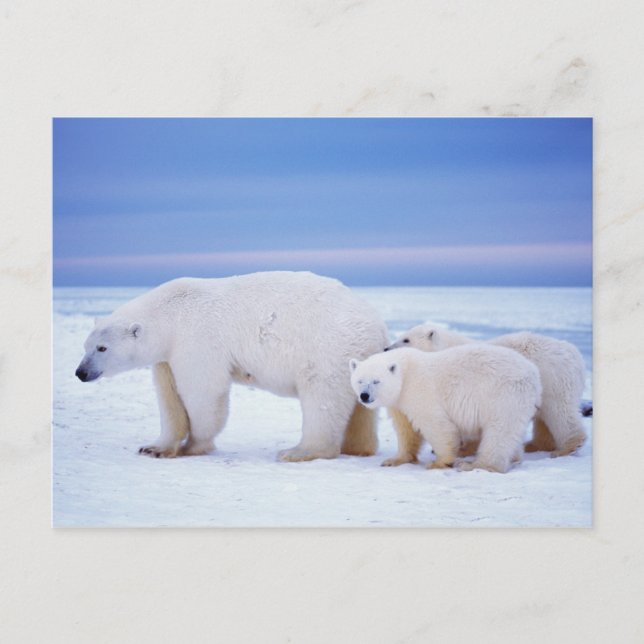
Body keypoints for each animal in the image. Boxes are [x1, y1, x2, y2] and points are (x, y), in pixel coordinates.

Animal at [75, 271, 389, 461]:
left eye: (102, 348)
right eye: (86, 345)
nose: (81, 372)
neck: (171, 314)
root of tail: (377, 324)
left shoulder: (196, 339)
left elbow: (203, 391)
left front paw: (193, 445)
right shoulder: (166, 356)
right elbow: (169, 398)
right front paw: (154, 447)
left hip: (328, 348)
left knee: (321, 397)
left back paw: (298, 451)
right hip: (358, 357)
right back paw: (358, 448)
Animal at [350, 345, 541, 473]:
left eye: (376, 381)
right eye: (360, 380)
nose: (364, 396)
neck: (405, 373)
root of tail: (533, 374)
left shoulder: (420, 390)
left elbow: (437, 425)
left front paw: (440, 462)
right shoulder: (399, 402)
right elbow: (406, 429)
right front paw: (394, 460)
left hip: (504, 395)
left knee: (499, 432)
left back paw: (476, 465)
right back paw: (514, 457)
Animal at [384, 324, 587, 464]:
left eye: (406, 339)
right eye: (401, 337)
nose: (386, 349)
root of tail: (574, 353)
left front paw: (463, 449)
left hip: (554, 380)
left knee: (559, 412)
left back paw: (567, 447)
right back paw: (534, 445)